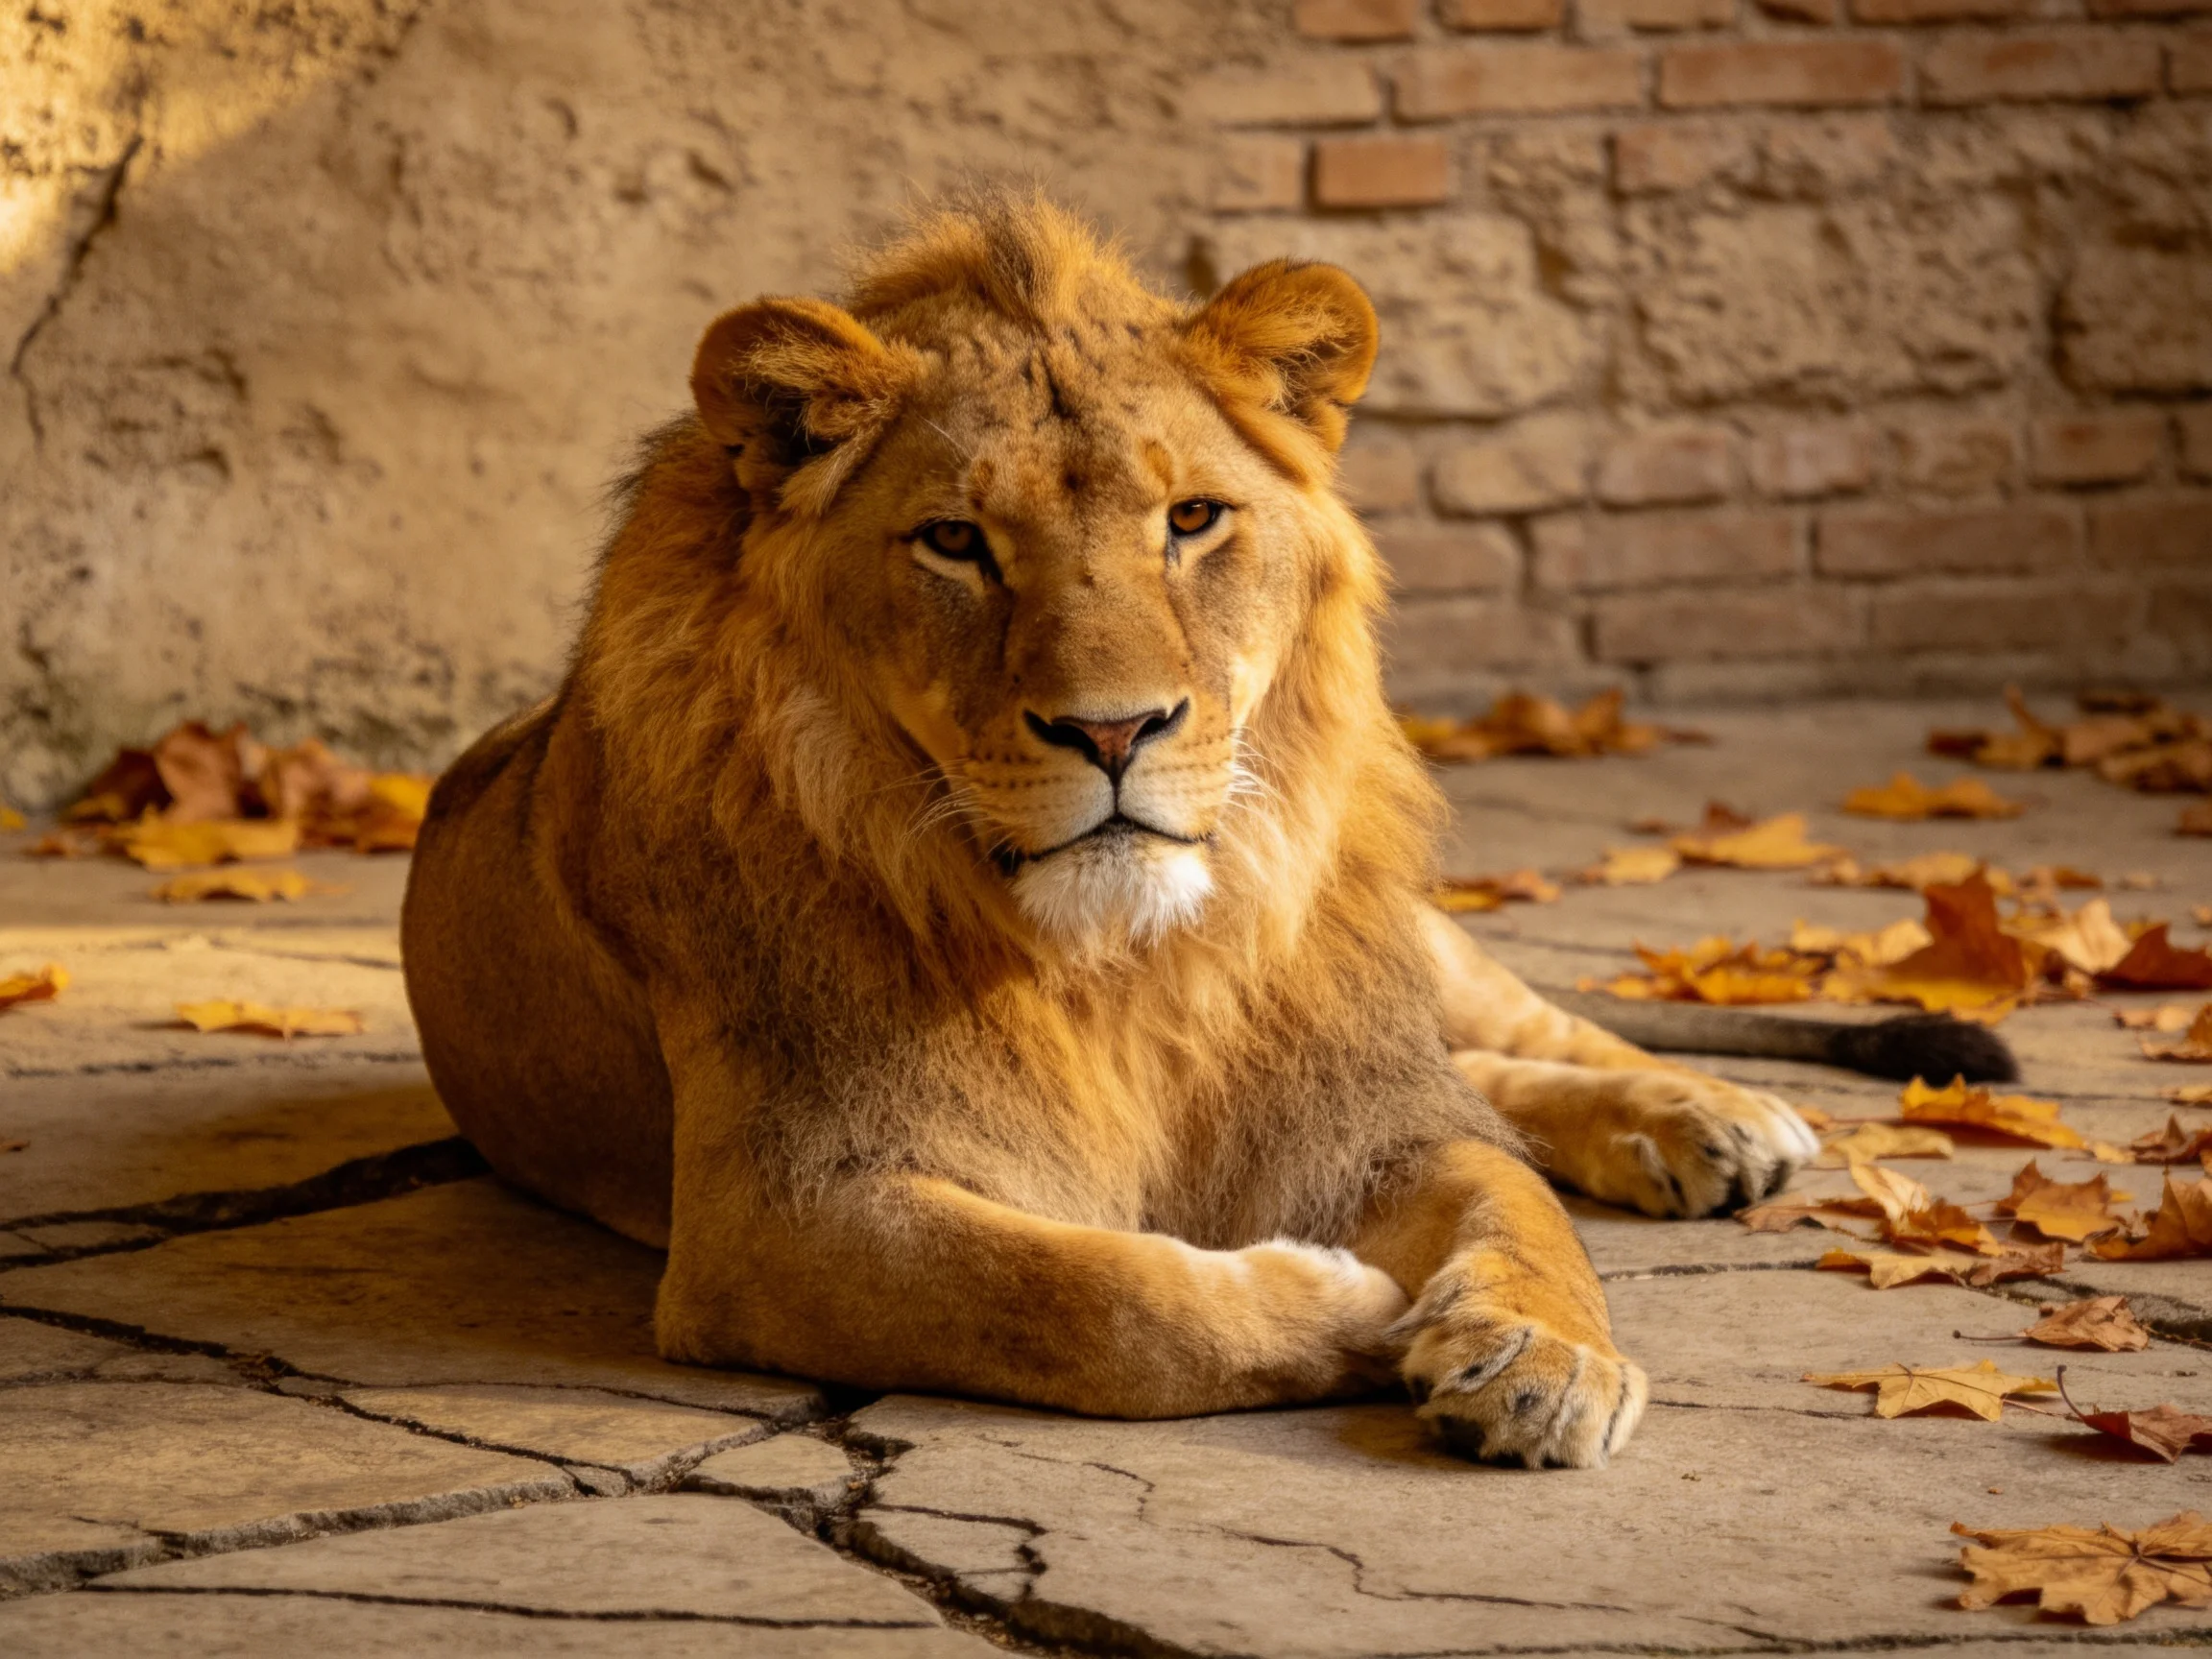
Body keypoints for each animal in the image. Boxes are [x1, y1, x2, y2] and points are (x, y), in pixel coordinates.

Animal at [401, 195, 1996, 1469]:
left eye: (1192, 519)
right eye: (955, 541)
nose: (1116, 734)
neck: (1128, 965)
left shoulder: (1369, 1108)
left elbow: (1522, 1210)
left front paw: (1543, 1360)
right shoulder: (774, 1214)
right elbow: (1095, 1298)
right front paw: (1350, 1303)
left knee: (1519, 1038)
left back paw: (1707, 1115)